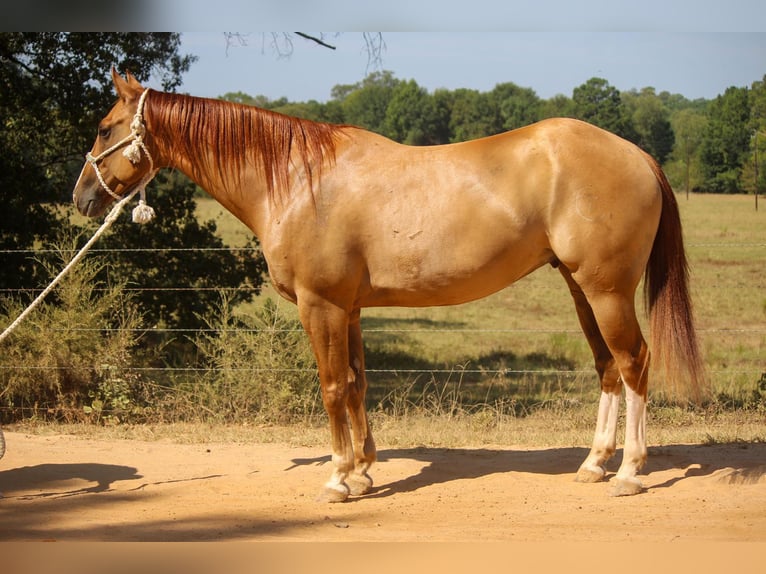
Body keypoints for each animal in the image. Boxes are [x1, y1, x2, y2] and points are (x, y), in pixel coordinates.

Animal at [75, 71, 704, 504]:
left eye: (105, 127)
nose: (82, 198)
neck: (296, 181)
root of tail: (639, 154)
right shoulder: (349, 310)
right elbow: (356, 384)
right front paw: (363, 471)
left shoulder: (321, 306)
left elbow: (332, 388)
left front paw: (336, 479)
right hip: (581, 290)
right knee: (608, 368)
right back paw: (594, 463)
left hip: (607, 292)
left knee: (634, 362)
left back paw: (629, 472)